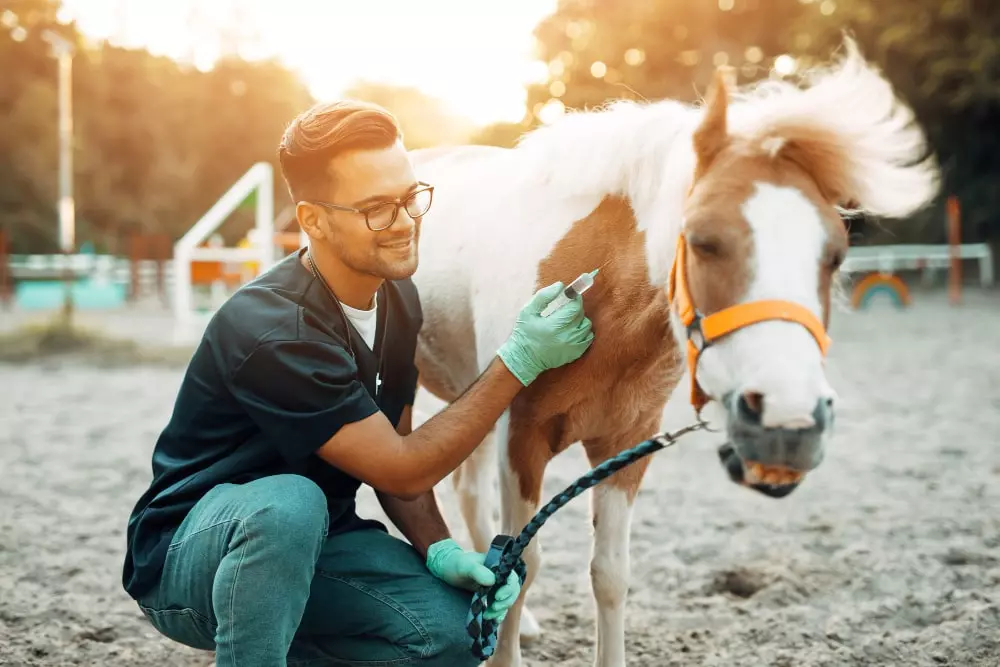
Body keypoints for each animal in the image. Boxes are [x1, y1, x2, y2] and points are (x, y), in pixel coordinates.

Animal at [404, 37, 936, 667]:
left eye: (834, 255)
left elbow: (609, 574)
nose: (788, 426)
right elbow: (523, 561)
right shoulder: (522, 437)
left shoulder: (627, 444)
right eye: (703, 242)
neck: (597, 303)